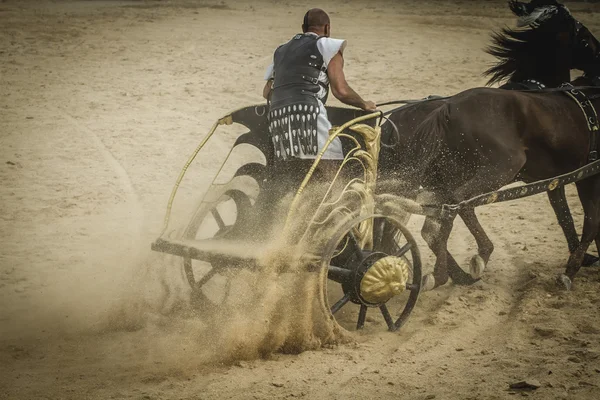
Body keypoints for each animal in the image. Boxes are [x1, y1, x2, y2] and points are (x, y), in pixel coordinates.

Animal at [384, 5, 600, 288]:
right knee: (455, 205)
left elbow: (564, 216)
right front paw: (575, 265)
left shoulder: (555, 179)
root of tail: (448, 108)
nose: (598, 60)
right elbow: (588, 219)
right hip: (498, 169)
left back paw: (450, 272)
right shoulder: (582, 174)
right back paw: (465, 265)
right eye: (584, 38)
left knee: (430, 220)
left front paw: (582, 258)